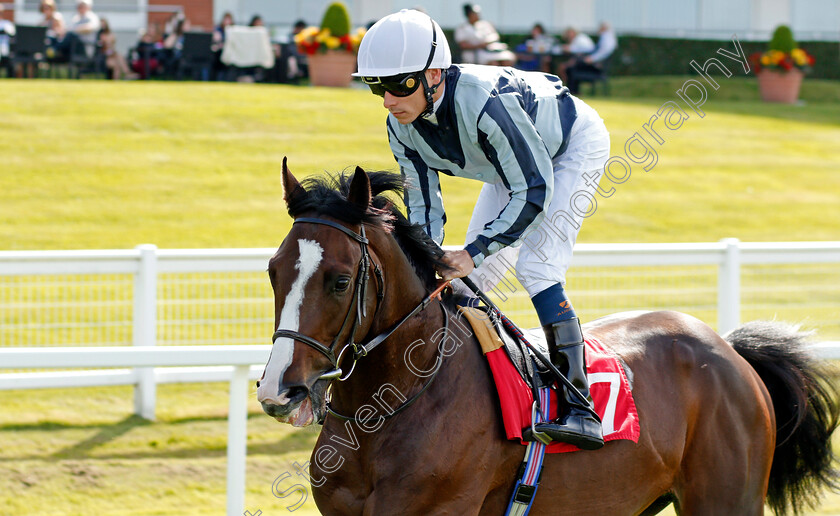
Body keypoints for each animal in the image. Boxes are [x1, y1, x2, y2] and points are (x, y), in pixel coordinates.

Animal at [258, 159, 840, 512]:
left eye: (338, 280)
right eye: (272, 271)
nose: (279, 392)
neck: (391, 404)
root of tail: (729, 349)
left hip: (724, 498)